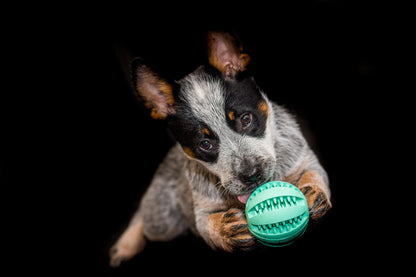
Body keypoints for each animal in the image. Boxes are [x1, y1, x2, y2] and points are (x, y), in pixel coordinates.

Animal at [109, 30, 332, 266]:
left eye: (245, 119)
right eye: (205, 144)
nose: (251, 175)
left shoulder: (305, 159)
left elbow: (313, 173)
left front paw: (314, 189)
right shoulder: (201, 209)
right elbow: (207, 223)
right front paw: (223, 229)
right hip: (163, 220)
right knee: (143, 216)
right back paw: (126, 244)